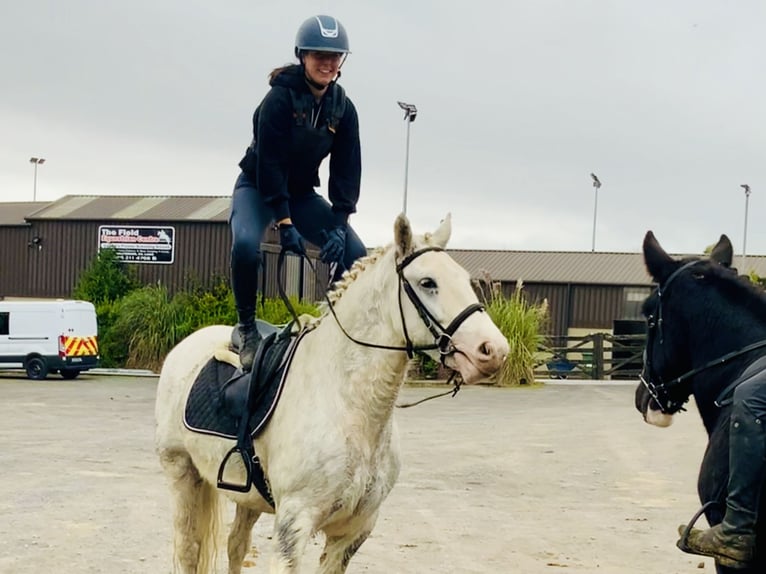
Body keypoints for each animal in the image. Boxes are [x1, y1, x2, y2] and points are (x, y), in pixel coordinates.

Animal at [154, 214, 510, 572]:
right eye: (427, 282)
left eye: (465, 279)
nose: (493, 350)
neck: (348, 405)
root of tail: (189, 345)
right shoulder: (293, 527)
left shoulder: (352, 532)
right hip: (182, 474)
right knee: (188, 550)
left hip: (247, 497)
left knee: (236, 545)